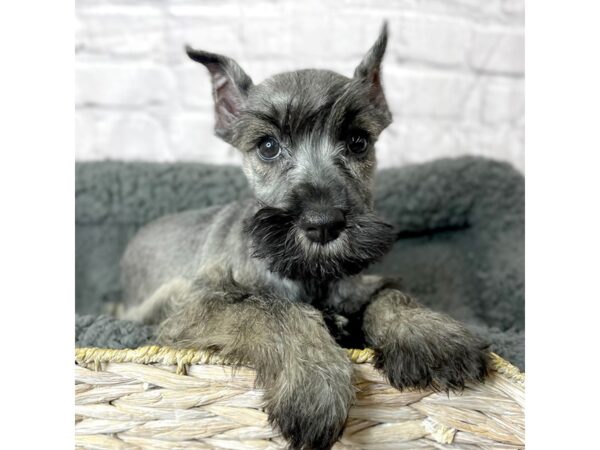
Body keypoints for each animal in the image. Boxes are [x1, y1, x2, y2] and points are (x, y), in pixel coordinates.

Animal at [120, 23, 488, 450]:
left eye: (358, 141)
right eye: (268, 146)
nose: (323, 223)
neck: (311, 276)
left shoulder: (359, 284)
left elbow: (389, 293)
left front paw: (428, 335)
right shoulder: (198, 304)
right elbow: (274, 310)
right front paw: (315, 382)